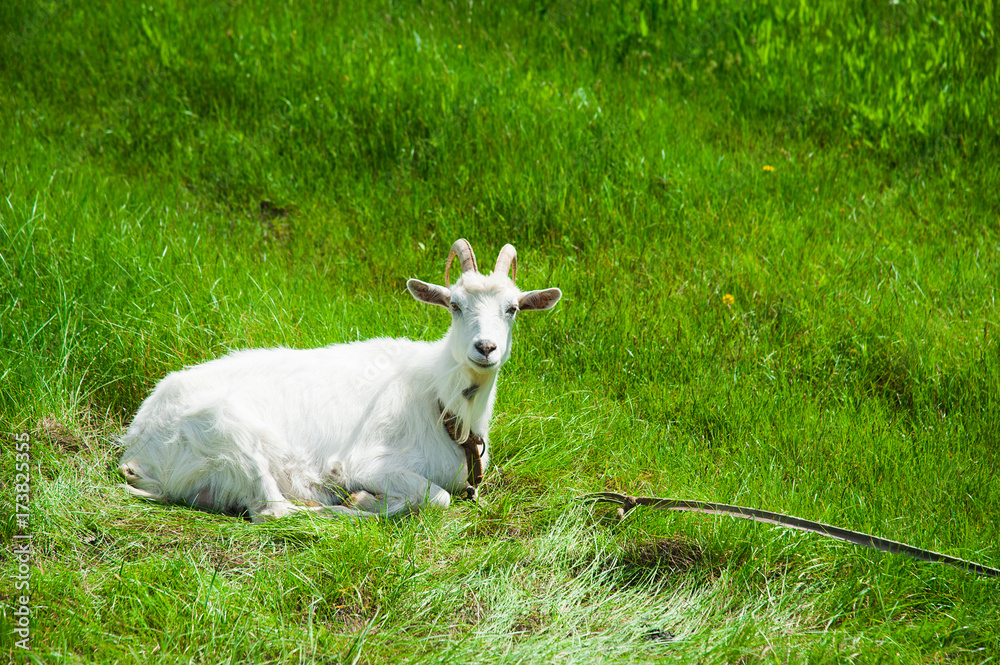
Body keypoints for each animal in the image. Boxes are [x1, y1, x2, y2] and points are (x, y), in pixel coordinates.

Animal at [117, 241, 564, 520]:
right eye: (454, 304)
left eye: (512, 308)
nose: (485, 347)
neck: (440, 400)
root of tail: (136, 447)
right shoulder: (367, 461)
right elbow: (437, 498)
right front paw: (365, 497)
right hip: (226, 430)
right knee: (271, 512)